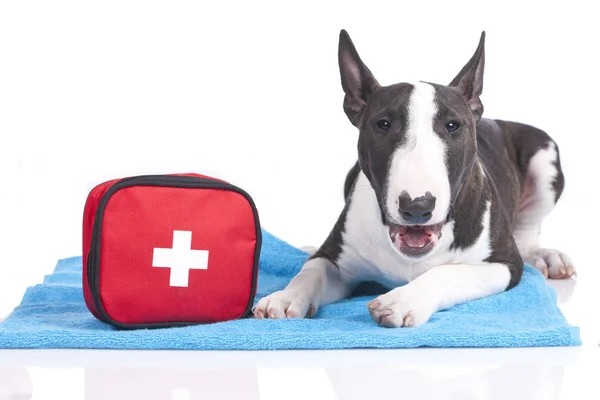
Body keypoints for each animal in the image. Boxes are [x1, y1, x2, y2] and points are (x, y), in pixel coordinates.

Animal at [251, 30, 576, 328]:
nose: (417, 208)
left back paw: (546, 257)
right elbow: (312, 270)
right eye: (383, 124)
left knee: (528, 231)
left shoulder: (504, 264)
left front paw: (402, 301)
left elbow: (449, 272)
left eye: (452, 125)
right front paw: (285, 296)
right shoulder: (337, 257)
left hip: (545, 154)